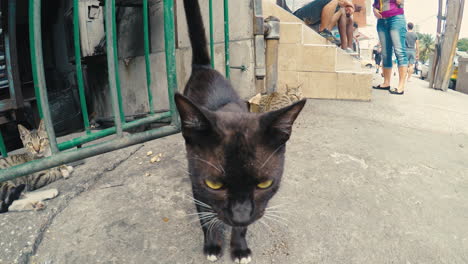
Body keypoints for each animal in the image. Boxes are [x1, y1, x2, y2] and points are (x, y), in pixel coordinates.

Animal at [176, 1, 308, 262]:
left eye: (265, 184)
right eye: (214, 184)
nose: (240, 215)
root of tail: (204, 68)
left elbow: (243, 229)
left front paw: (239, 248)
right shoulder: (197, 182)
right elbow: (206, 217)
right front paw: (212, 246)